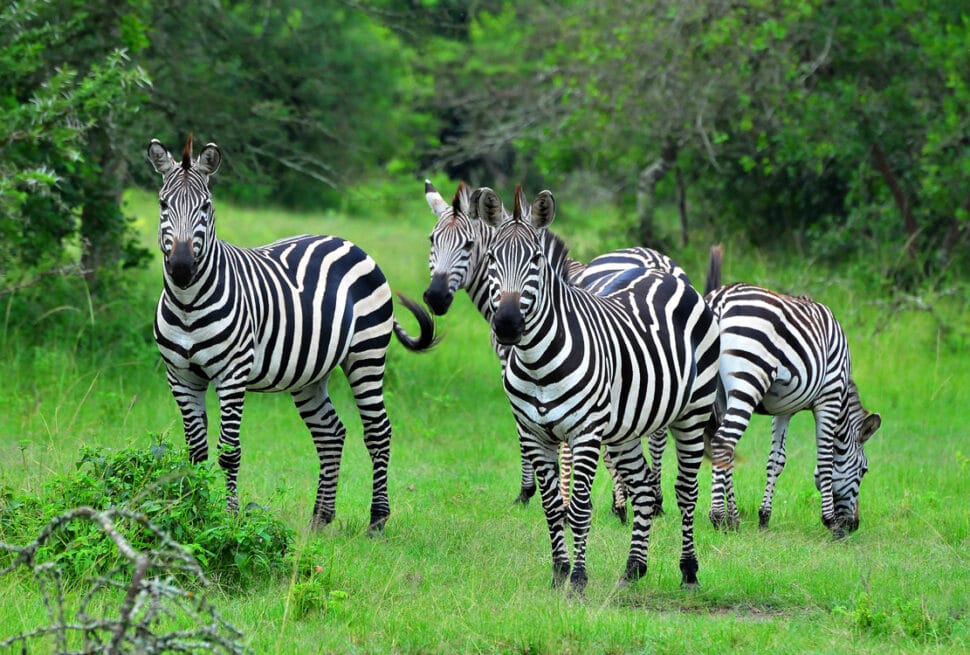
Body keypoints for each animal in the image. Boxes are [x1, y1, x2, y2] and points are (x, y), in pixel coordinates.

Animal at [146, 135, 437, 533]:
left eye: (206, 206)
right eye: (163, 204)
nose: (181, 267)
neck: (188, 303)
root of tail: (348, 242)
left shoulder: (232, 375)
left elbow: (229, 452)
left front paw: (230, 519)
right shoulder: (180, 377)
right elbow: (196, 452)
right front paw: (192, 512)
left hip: (366, 354)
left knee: (378, 431)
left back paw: (377, 519)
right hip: (311, 374)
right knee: (331, 434)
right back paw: (321, 517)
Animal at [422, 180, 685, 518]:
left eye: (468, 245)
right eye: (433, 240)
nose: (435, 297)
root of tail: (656, 262)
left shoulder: (520, 368)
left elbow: (531, 435)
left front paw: (530, 492)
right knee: (658, 430)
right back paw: (656, 499)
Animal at [475, 185, 719, 592]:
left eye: (536, 260)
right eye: (492, 258)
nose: (507, 324)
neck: (537, 364)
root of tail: (665, 273)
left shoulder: (585, 433)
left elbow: (578, 508)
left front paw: (577, 578)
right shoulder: (534, 434)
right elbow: (551, 507)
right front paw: (559, 572)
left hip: (693, 413)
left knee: (686, 491)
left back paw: (688, 571)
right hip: (625, 430)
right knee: (643, 489)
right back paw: (633, 568)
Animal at [703, 246, 881, 536]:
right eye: (864, 471)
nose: (854, 525)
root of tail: (719, 299)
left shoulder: (783, 409)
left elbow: (776, 460)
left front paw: (764, 517)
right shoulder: (829, 397)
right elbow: (825, 458)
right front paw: (830, 522)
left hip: (716, 392)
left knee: (721, 444)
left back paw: (734, 518)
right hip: (748, 379)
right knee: (723, 441)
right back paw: (719, 517)